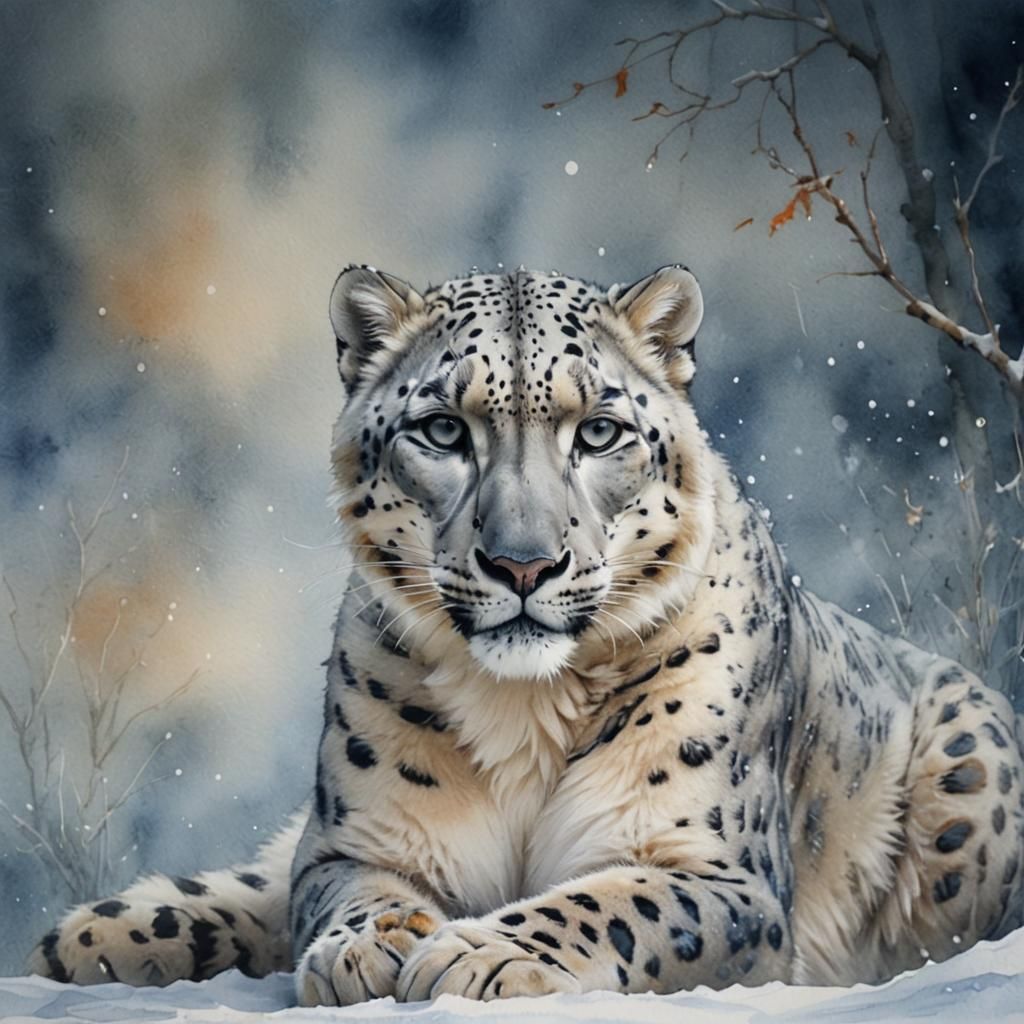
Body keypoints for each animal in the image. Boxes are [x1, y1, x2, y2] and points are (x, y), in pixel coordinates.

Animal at [29, 265, 1024, 1005]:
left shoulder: (711, 867)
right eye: (442, 430)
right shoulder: (360, 838)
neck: (522, 708)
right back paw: (93, 934)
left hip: (973, 769)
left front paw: (480, 954)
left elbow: (614, 903)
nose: (522, 564)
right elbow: (340, 890)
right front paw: (372, 945)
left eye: (600, 431)